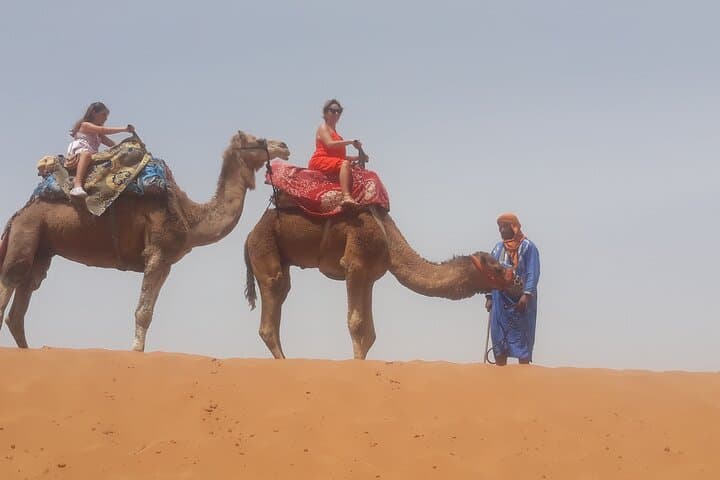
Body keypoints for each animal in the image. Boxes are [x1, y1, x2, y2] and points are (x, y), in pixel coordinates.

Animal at [0, 131, 290, 351]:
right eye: (258, 139)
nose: (284, 146)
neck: (189, 216)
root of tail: (19, 213)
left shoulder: (166, 262)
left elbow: (147, 312)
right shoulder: (157, 253)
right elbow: (142, 312)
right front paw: (136, 352)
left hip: (42, 247)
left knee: (23, 296)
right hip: (27, 232)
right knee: (11, 280)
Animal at [244, 206, 524, 359]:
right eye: (498, 268)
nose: (518, 281)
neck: (390, 242)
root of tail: (248, 235)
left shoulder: (369, 275)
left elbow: (370, 333)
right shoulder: (354, 264)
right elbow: (356, 323)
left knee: (281, 292)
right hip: (265, 248)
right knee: (272, 295)